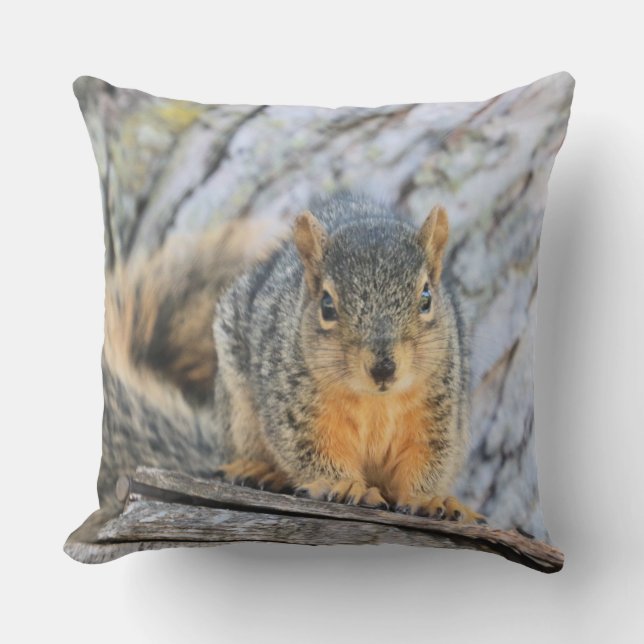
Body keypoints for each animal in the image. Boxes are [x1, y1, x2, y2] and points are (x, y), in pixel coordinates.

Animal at [100, 193, 484, 523]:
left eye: (426, 298)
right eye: (327, 305)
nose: (383, 367)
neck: (375, 400)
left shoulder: (439, 407)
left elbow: (429, 457)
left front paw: (426, 498)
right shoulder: (294, 402)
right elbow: (312, 447)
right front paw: (344, 485)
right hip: (239, 411)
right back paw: (257, 469)